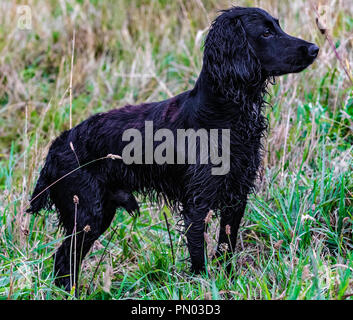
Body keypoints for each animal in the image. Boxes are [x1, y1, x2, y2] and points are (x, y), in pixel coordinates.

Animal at [28, 6, 320, 292]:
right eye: (266, 33)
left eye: (278, 26)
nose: (314, 48)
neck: (222, 113)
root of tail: (57, 146)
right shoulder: (197, 204)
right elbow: (198, 253)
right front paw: (203, 284)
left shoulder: (236, 196)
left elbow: (226, 246)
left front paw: (228, 281)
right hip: (88, 214)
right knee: (63, 259)